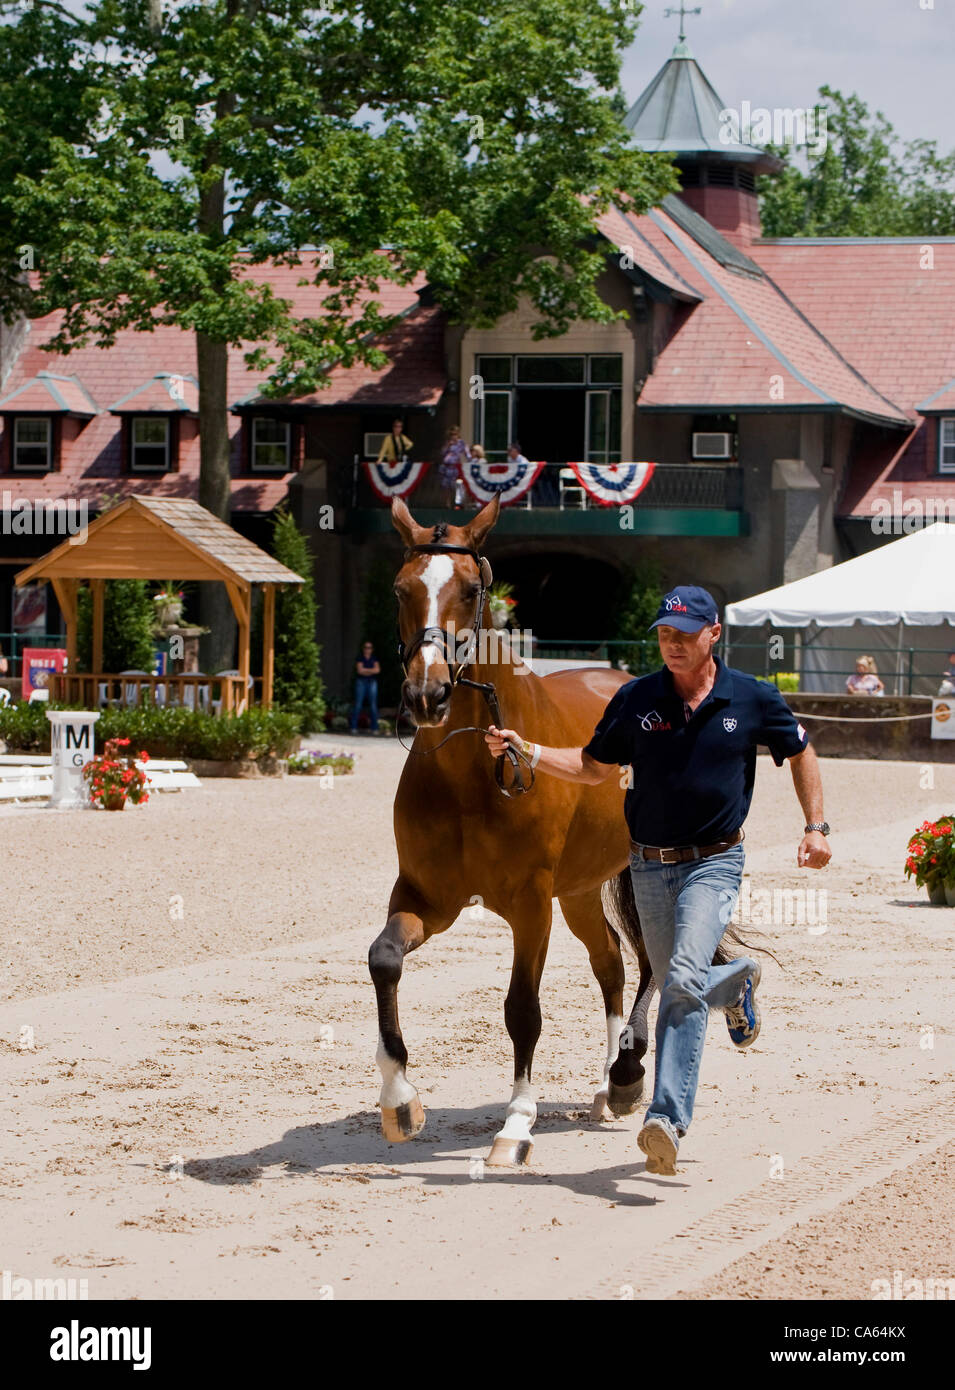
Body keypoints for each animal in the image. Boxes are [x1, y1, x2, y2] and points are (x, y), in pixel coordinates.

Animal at [366, 494, 656, 1167]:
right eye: (399, 589)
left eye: (471, 590)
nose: (426, 694)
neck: (471, 773)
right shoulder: (427, 898)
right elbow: (384, 959)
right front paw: (400, 1101)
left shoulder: (530, 904)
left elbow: (522, 1009)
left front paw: (516, 1125)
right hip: (579, 891)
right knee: (610, 962)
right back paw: (608, 1085)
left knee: (650, 960)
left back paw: (627, 1075)